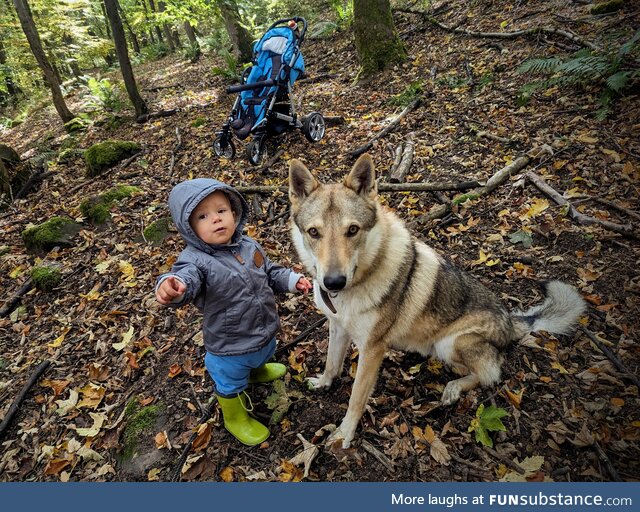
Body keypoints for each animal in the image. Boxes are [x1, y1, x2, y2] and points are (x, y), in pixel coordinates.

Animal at [288, 153, 588, 448]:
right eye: (314, 233)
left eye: (352, 230)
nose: (333, 282)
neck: (353, 289)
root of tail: (512, 321)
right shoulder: (338, 327)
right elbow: (331, 363)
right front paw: (323, 383)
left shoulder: (372, 349)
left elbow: (356, 398)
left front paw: (344, 435)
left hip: (451, 343)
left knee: (490, 374)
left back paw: (454, 389)